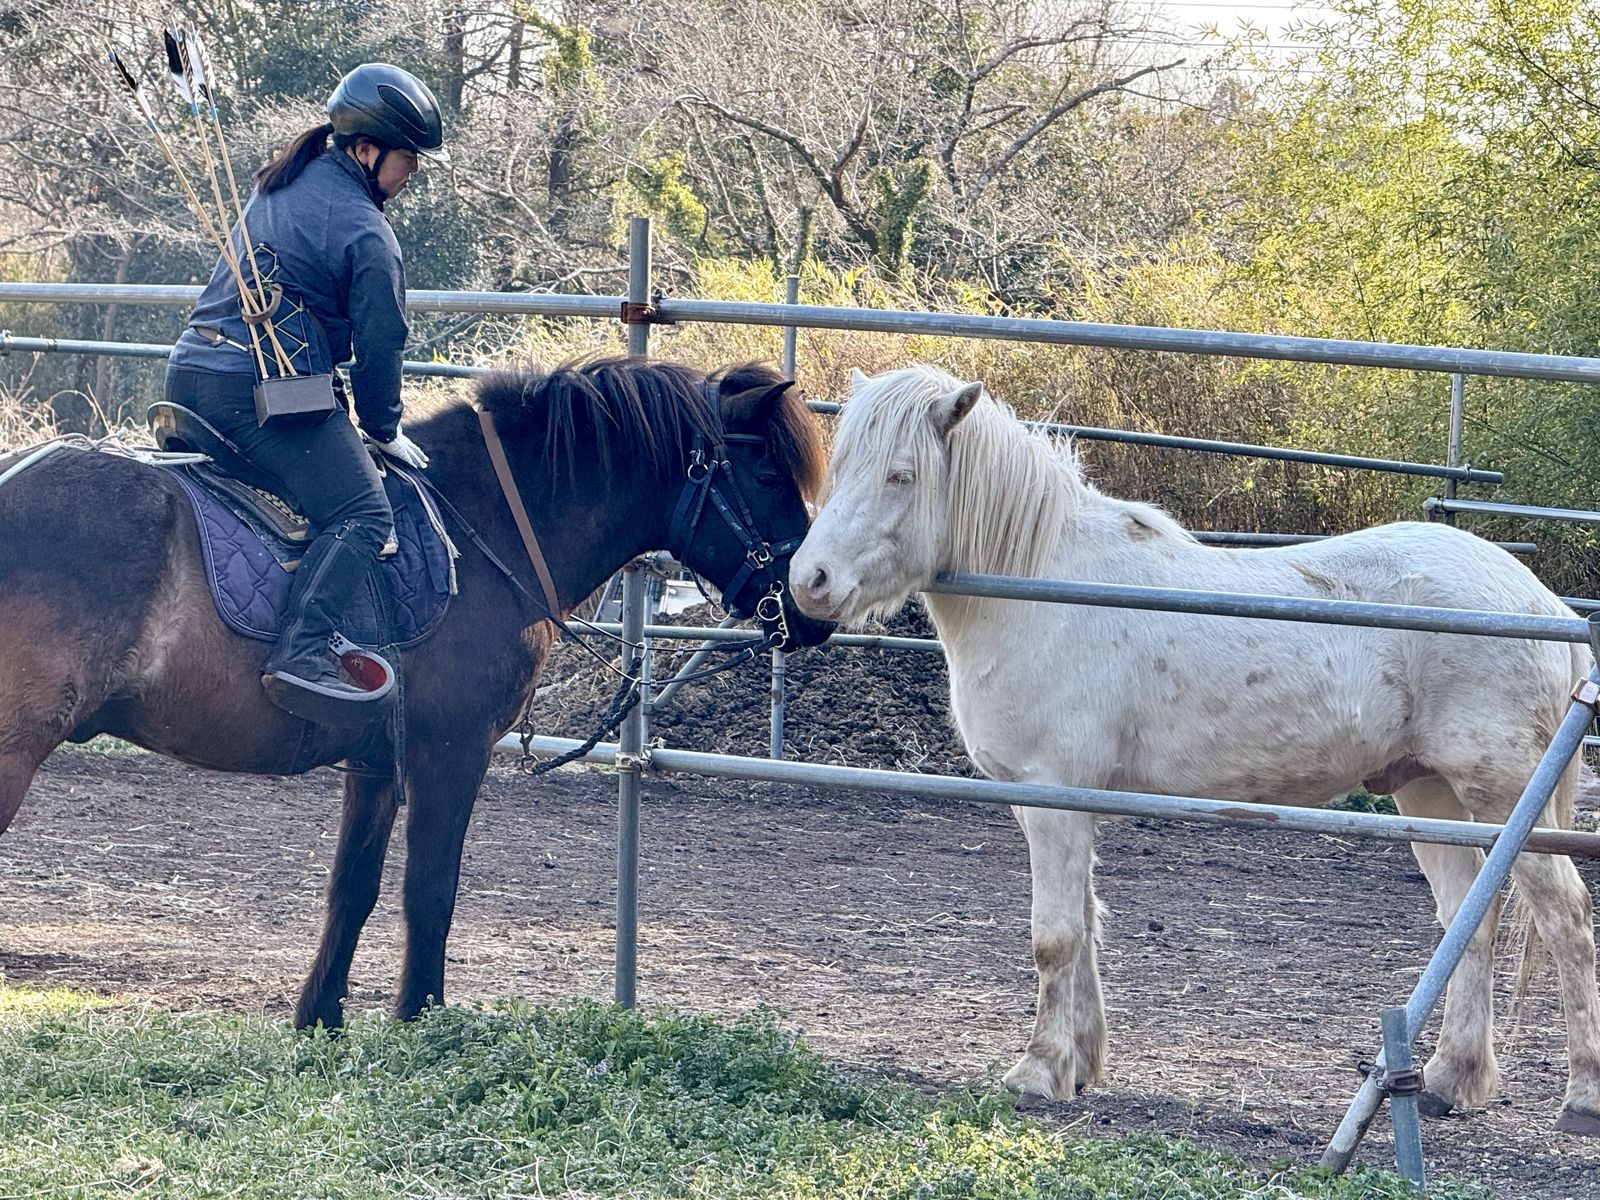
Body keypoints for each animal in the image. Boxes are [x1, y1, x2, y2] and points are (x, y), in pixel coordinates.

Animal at [0, 356, 833, 1030]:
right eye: (766, 475)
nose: (811, 606)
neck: (487, 526)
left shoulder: (377, 762)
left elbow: (354, 889)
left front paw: (321, 1019)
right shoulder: (451, 752)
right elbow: (430, 890)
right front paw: (419, 1019)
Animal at [787, 363, 1600, 1135]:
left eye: (902, 474)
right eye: (842, 462)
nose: (809, 581)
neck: (1042, 588)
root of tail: (1540, 602)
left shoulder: (1053, 796)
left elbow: (1055, 936)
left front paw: (1037, 1072)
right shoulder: (1049, 800)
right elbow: (1086, 926)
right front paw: (1081, 1066)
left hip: (1502, 797)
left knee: (1567, 918)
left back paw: (1580, 1099)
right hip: (1430, 794)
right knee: (1471, 919)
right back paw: (1448, 1082)